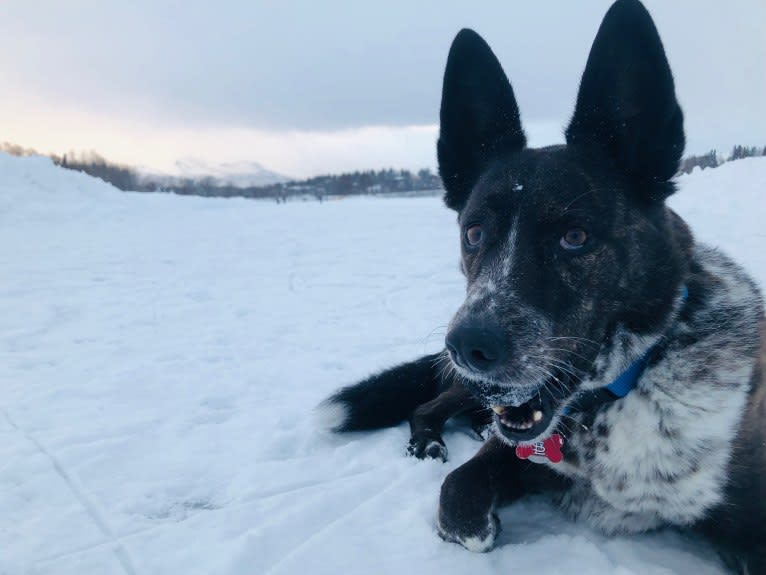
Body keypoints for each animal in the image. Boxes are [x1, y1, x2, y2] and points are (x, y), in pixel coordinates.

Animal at [320, 1, 764, 572]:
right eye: (474, 233)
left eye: (574, 237)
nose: (468, 347)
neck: (617, 393)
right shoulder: (511, 448)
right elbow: (455, 495)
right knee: (428, 407)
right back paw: (432, 441)